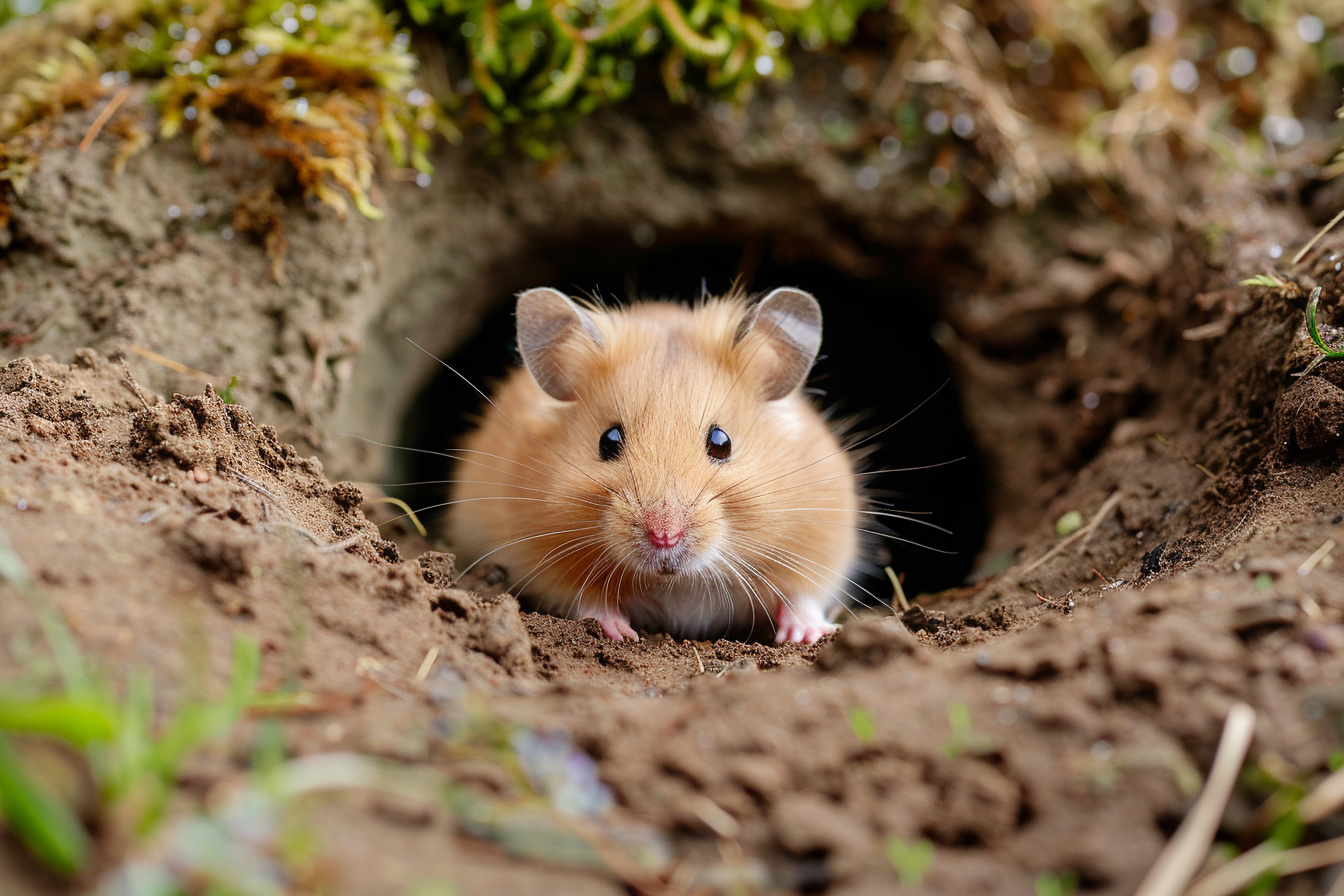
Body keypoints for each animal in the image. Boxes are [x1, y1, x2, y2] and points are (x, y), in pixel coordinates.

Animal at [447, 286, 861, 643]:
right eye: (608, 440)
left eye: (721, 442)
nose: (665, 537)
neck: (677, 581)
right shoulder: (539, 556)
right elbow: (585, 598)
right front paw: (619, 632)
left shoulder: (821, 537)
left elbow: (803, 594)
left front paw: (807, 635)